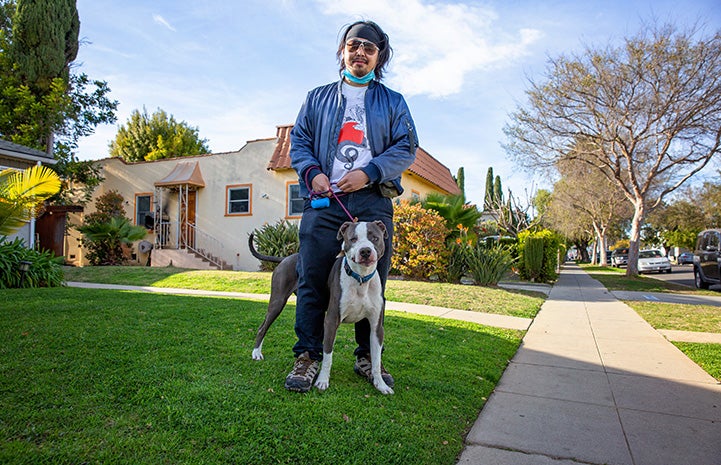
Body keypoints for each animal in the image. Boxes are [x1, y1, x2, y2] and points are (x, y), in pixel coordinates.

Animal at [249, 219, 394, 394]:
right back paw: (256, 353)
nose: (365, 251)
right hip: (277, 301)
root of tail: (286, 257)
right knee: (263, 327)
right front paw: (323, 381)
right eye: (353, 239)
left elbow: (376, 360)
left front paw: (381, 384)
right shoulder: (331, 321)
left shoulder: (376, 327)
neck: (361, 278)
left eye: (375, 238)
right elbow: (327, 355)